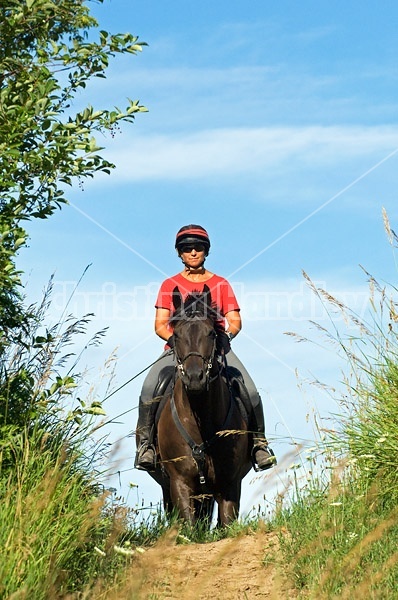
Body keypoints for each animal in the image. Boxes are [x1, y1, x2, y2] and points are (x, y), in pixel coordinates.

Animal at [146, 286, 252, 524]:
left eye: (211, 333)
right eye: (176, 335)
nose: (195, 378)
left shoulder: (229, 484)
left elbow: (226, 526)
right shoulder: (180, 483)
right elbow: (188, 526)